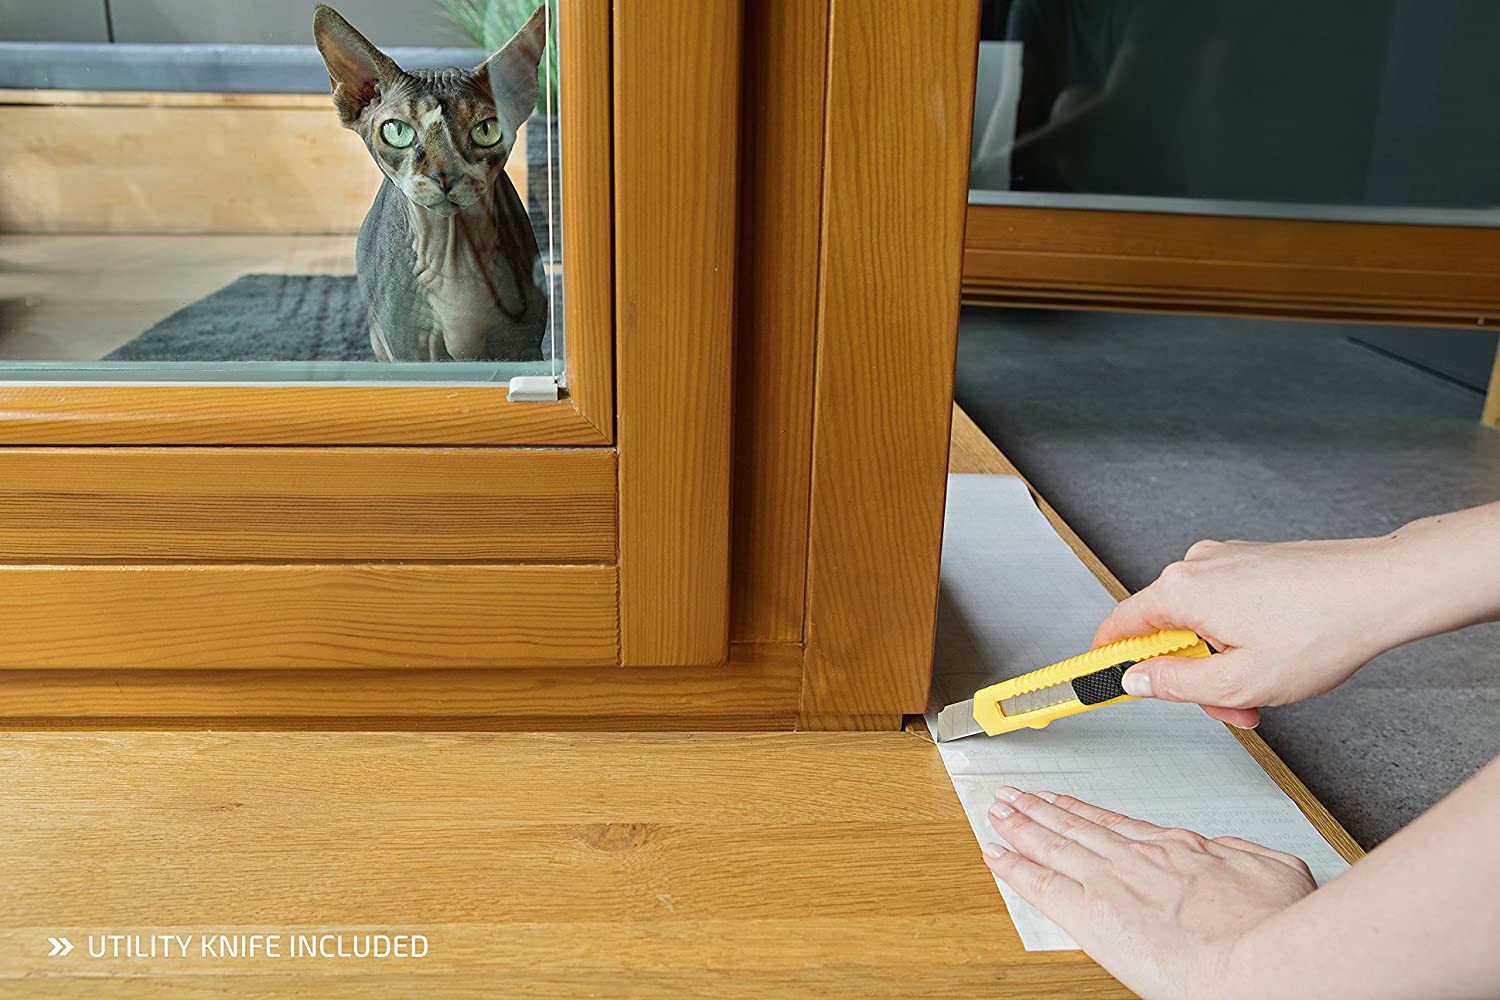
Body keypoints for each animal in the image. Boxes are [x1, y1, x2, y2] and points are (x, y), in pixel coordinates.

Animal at [313, 3, 549, 364]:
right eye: (397, 131)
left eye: (486, 130)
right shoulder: (410, 350)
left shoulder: (521, 343)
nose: (445, 175)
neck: (453, 255)